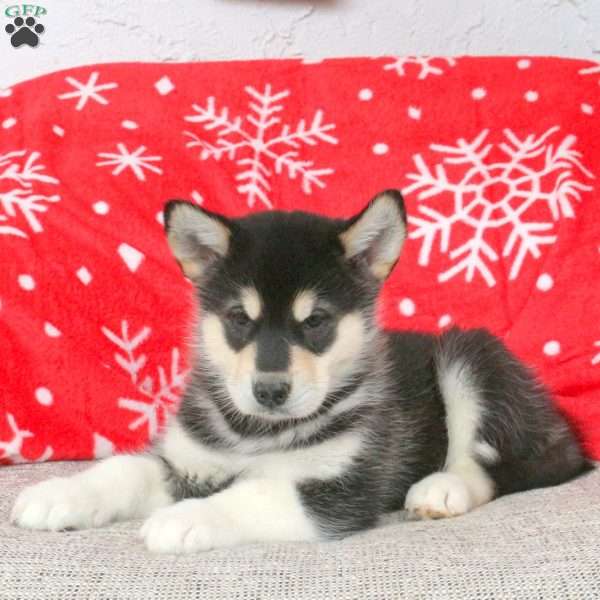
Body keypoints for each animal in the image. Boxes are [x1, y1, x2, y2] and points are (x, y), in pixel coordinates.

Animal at [11, 191, 588, 552]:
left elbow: (254, 494)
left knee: (494, 461)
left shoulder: (340, 487)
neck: (258, 434)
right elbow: (124, 470)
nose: (270, 390)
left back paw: (440, 490)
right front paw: (58, 495)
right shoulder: (189, 460)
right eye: (239, 318)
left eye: (316, 322)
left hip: (470, 356)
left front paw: (183, 518)